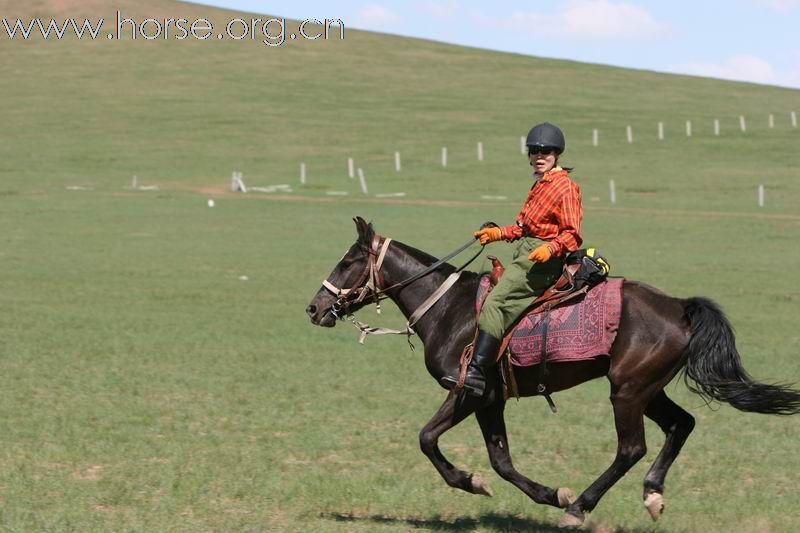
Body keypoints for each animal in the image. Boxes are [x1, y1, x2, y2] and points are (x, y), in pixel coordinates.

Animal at [304, 217, 800, 528]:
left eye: (348, 261)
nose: (314, 308)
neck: (449, 308)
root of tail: (679, 306)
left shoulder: (469, 391)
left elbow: (428, 439)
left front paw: (474, 483)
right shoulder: (491, 400)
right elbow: (501, 461)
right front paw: (535, 492)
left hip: (627, 392)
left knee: (632, 448)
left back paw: (580, 506)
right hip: (646, 389)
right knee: (682, 424)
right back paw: (652, 495)